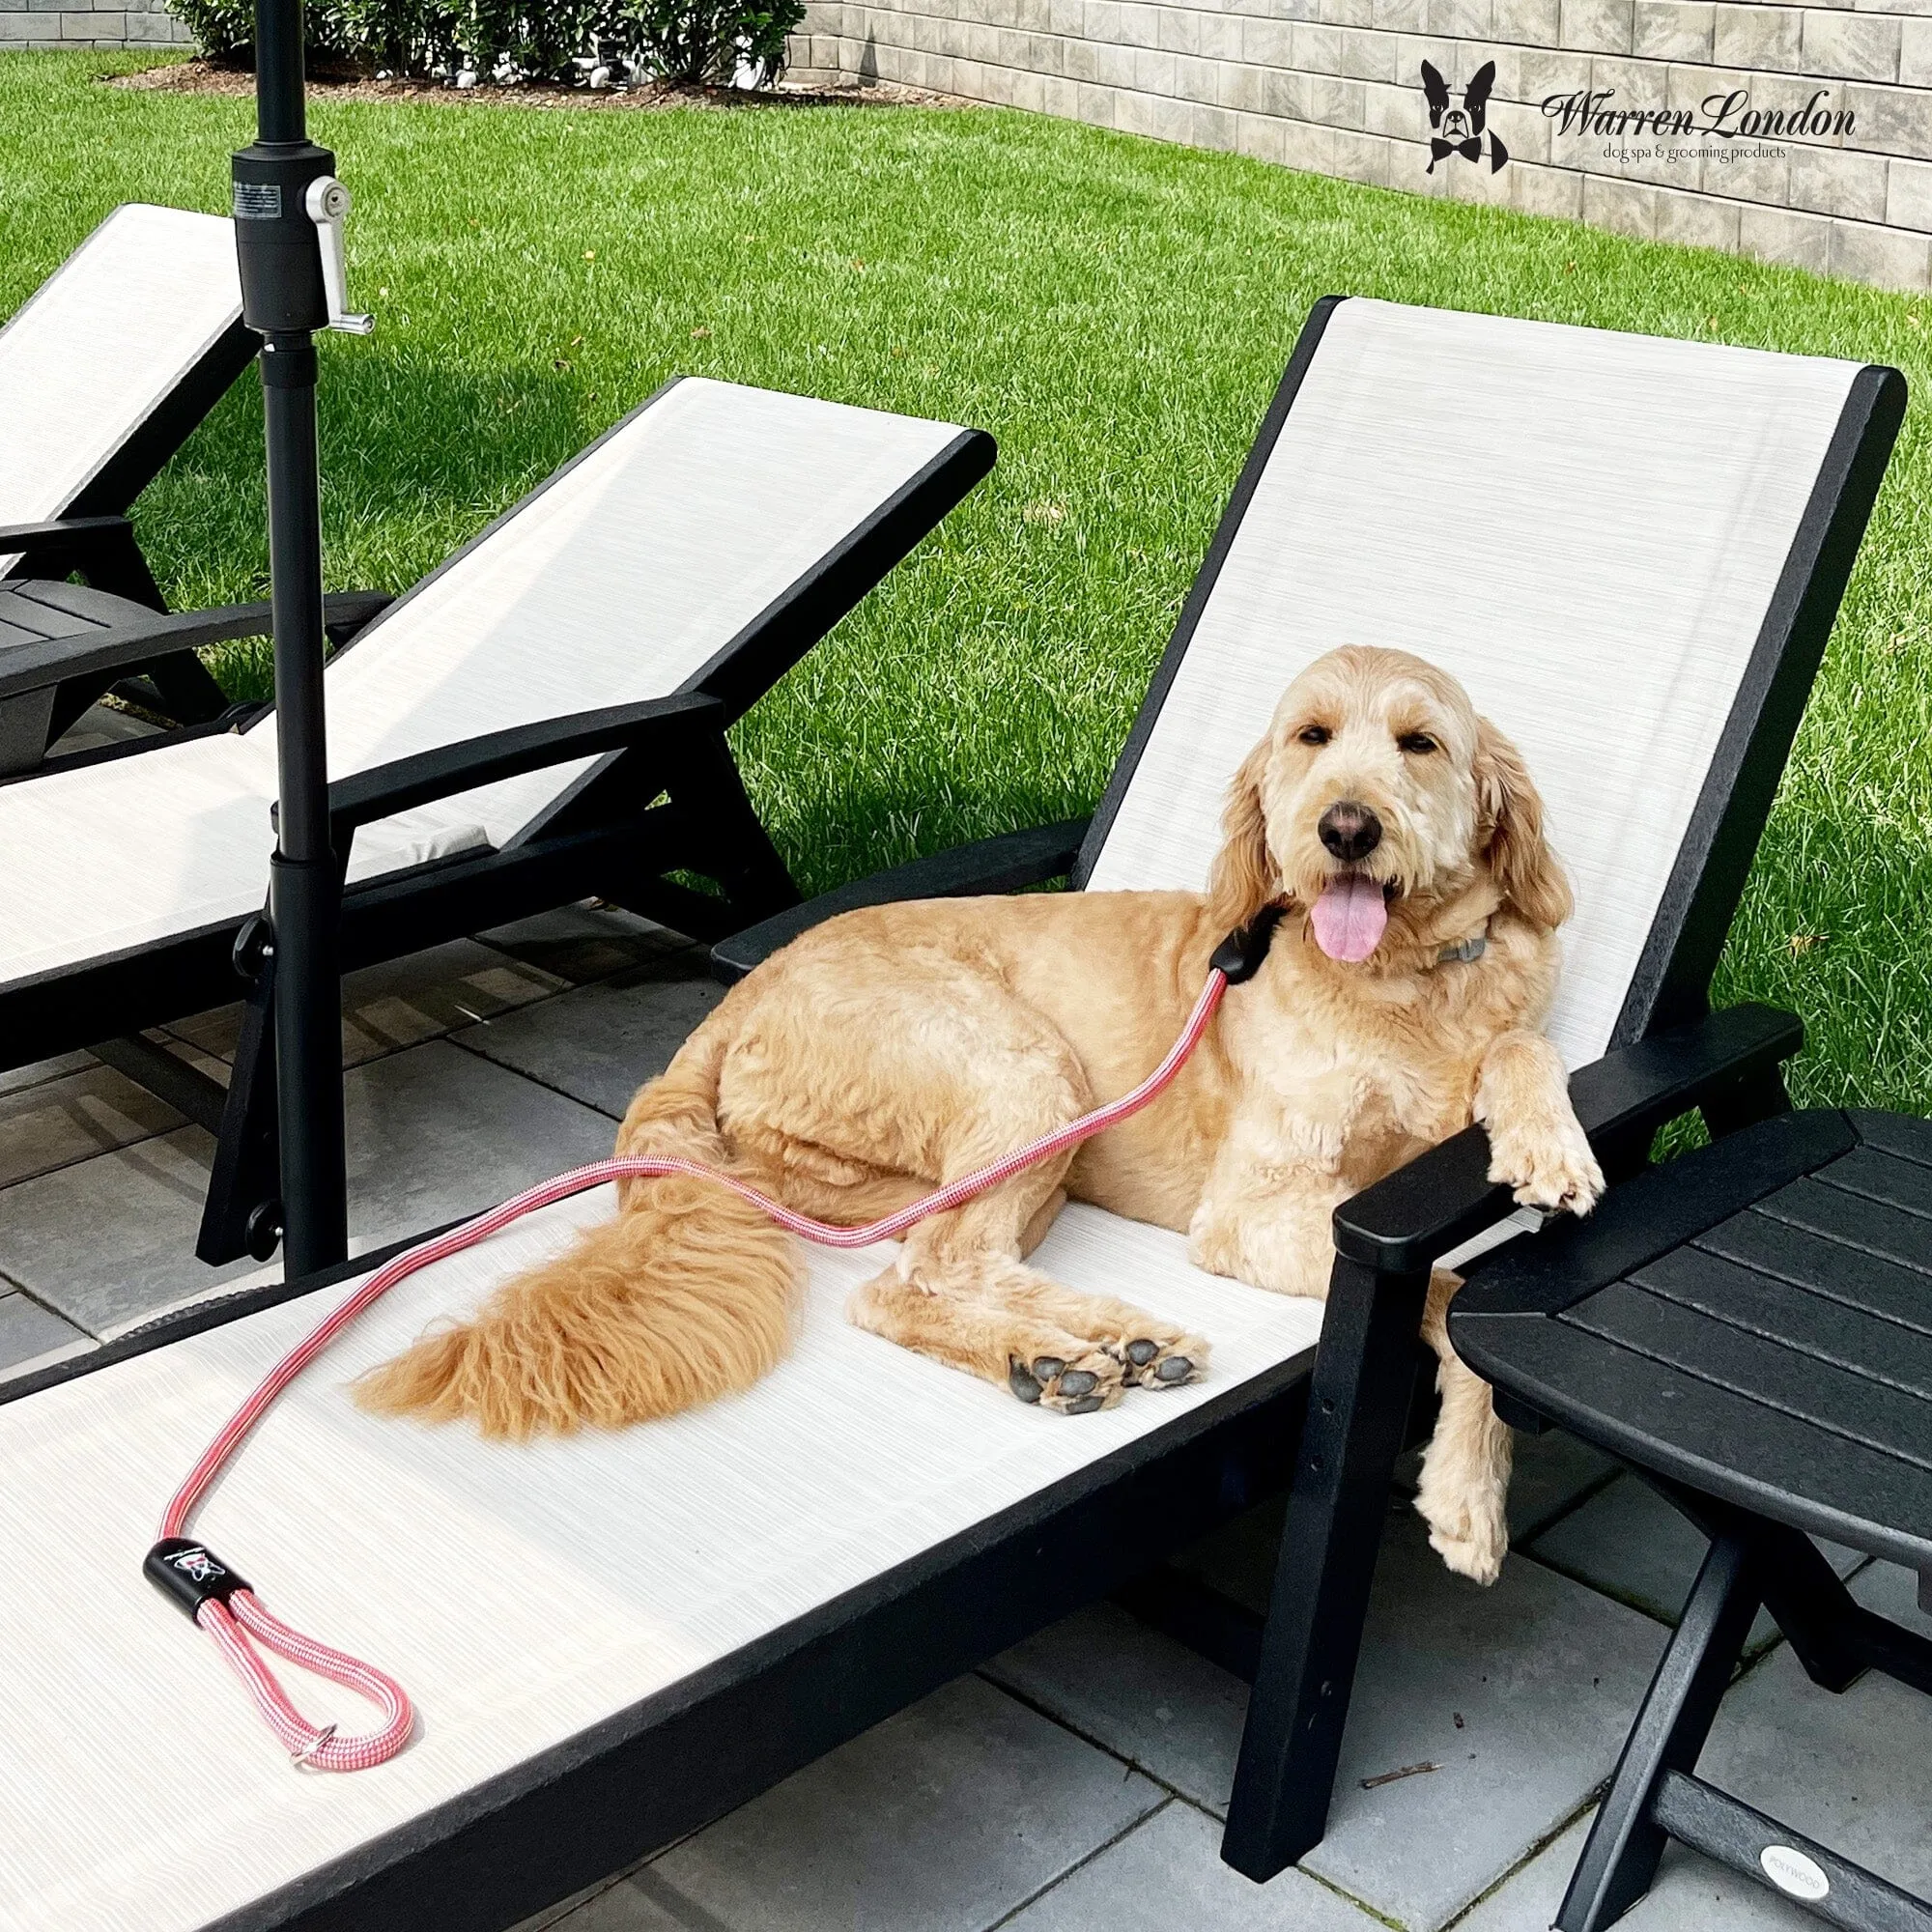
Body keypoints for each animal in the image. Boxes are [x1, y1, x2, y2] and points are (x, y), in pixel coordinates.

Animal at [363, 649, 1600, 1584]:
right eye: (1310, 736)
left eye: (1418, 745)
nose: (1345, 828)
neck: (1406, 988)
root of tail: (736, 998)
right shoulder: (1249, 1213)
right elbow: (1447, 1285)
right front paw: (1467, 1493)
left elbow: (1522, 1061)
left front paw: (1547, 1142)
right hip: (1025, 1069)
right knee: (907, 1279)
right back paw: (1075, 1345)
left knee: (932, 1261)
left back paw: (1088, 1345)